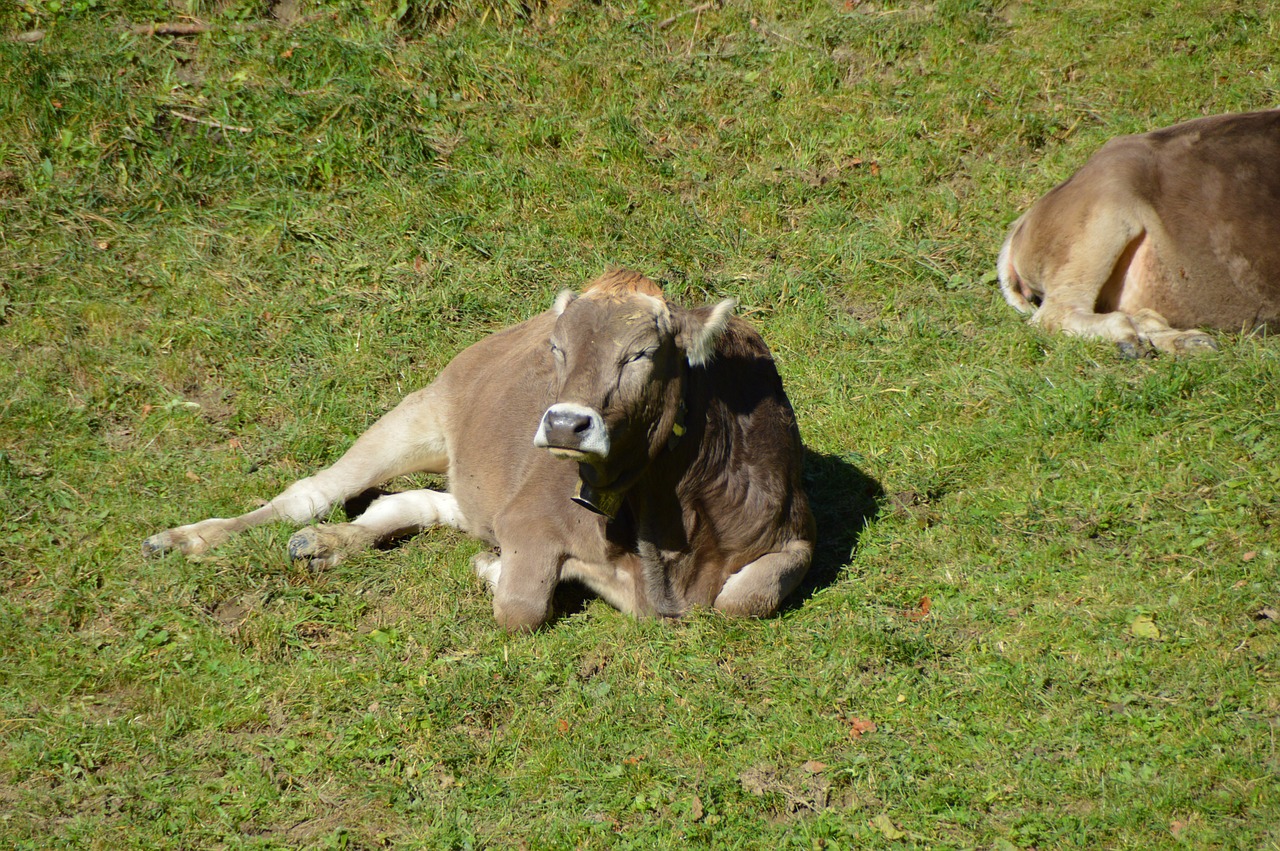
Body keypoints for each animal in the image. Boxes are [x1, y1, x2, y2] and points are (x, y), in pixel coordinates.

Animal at [145, 268, 814, 627]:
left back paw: (325, 545)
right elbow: (519, 606)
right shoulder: (530, 518)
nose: (565, 424)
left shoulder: (794, 533)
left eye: (642, 353)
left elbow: (742, 600)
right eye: (557, 348)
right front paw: (493, 571)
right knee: (309, 495)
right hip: (420, 412)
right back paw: (184, 540)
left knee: (408, 504)